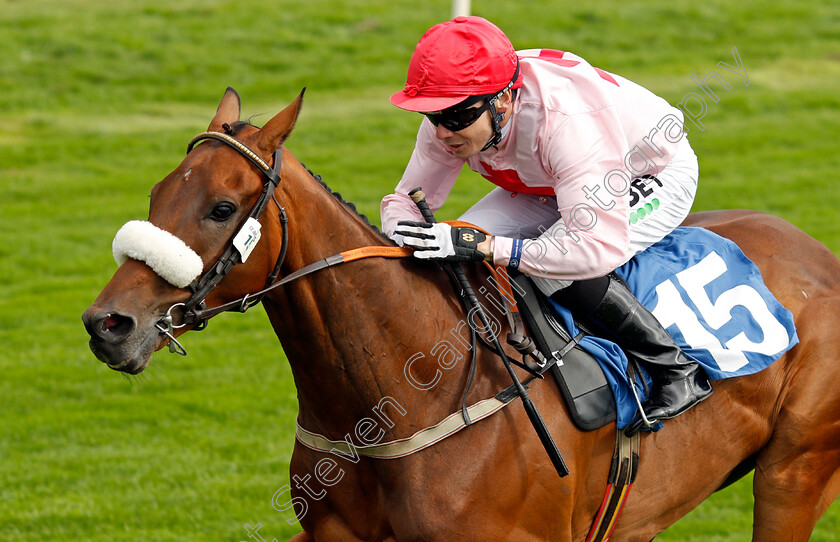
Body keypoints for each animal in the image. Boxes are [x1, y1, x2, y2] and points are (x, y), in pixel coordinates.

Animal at [83, 89, 840, 540]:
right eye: (156, 194)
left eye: (219, 208)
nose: (107, 324)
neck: (401, 394)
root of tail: (816, 253)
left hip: (794, 470)